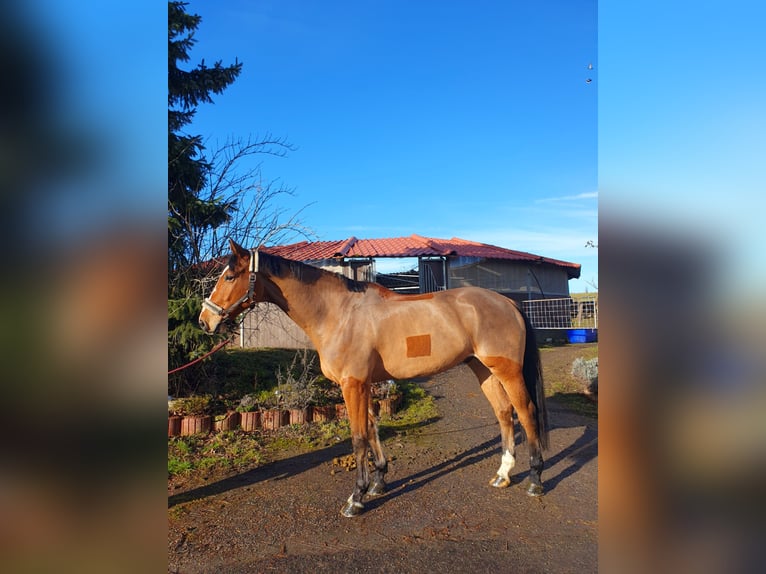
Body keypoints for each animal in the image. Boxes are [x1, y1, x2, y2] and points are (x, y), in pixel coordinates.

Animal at [199, 239, 549, 517]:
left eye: (229, 276)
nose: (204, 321)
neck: (338, 314)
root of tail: (508, 302)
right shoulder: (362, 384)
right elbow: (372, 429)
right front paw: (379, 481)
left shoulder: (352, 385)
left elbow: (358, 437)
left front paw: (356, 498)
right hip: (483, 369)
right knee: (504, 413)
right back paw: (503, 474)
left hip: (507, 371)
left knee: (526, 413)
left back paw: (535, 480)